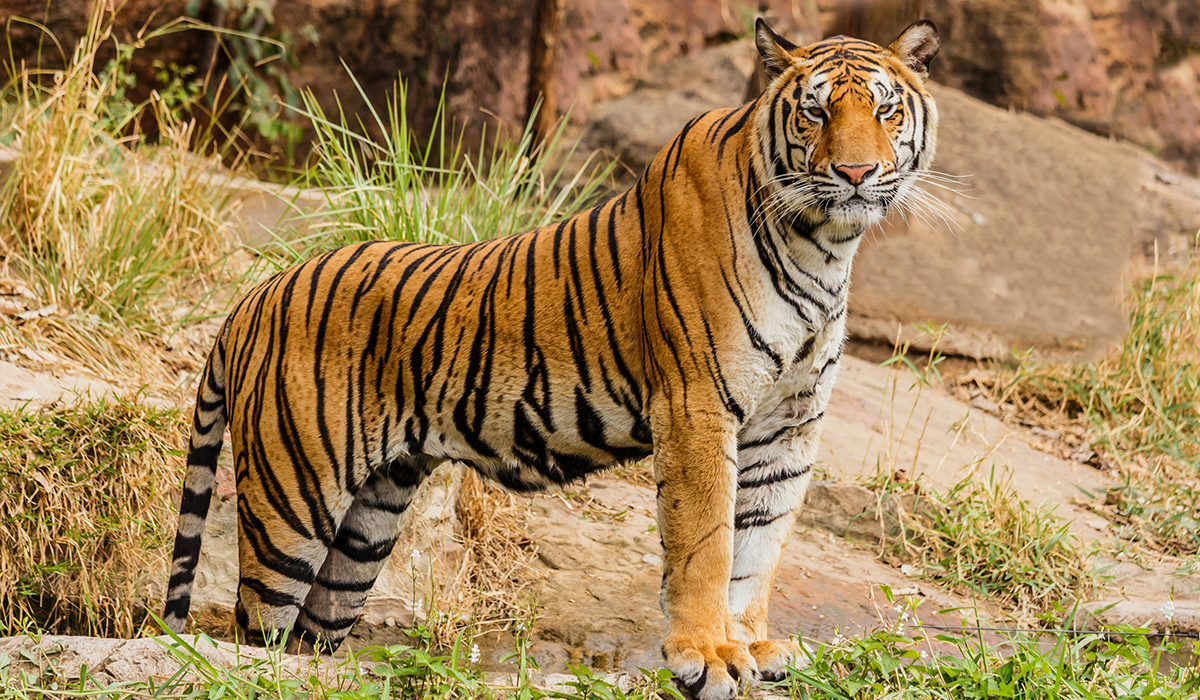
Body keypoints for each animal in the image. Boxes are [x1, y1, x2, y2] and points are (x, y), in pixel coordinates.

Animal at [166, 17, 936, 700]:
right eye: (814, 112)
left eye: (886, 109)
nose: (857, 172)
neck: (825, 246)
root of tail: (253, 296)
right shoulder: (697, 405)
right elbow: (708, 543)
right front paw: (707, 657)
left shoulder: (789, 424)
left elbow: (759, 546)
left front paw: (749, 646)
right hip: (291, 502)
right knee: (253, 631)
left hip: (366, 526)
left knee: (307, 638)